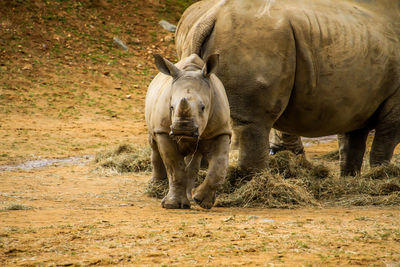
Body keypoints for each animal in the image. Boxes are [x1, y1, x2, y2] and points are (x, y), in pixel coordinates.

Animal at [145, 53, 230, 210]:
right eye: (171, 107)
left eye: (203, 107)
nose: (182, 128)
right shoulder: (163, 131)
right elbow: (174, 167)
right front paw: (172, 205)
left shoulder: (221, 131)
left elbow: (219, 166)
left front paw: (202, 201)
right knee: (153, 145)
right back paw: (155, 186)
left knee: (193, 159)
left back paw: (190, 197)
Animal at [177, 0, 400, 176]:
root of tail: (211, 17)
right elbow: (385, 141)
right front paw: (380, 175)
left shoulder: (358, 102)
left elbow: (352, 142)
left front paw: (350, 179)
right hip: (256, 39)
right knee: (253, 121)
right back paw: (257, 181)